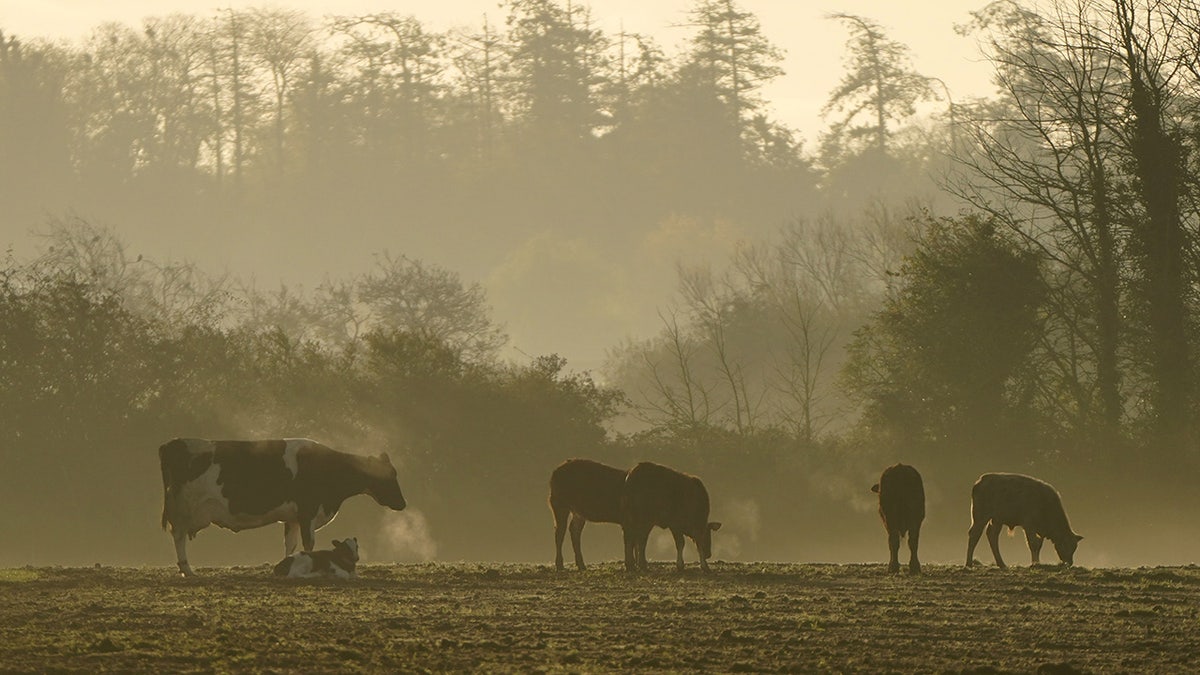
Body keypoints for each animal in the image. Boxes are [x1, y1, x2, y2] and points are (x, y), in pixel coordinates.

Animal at [158, 439, 408, 576]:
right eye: (389, 476)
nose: (403, 503)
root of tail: (173, 443)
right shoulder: (308, 512)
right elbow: (309, 543)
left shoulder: (293, 517)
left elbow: (291, 544)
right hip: (182, 510)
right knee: (178, 537)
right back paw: (187, 570)